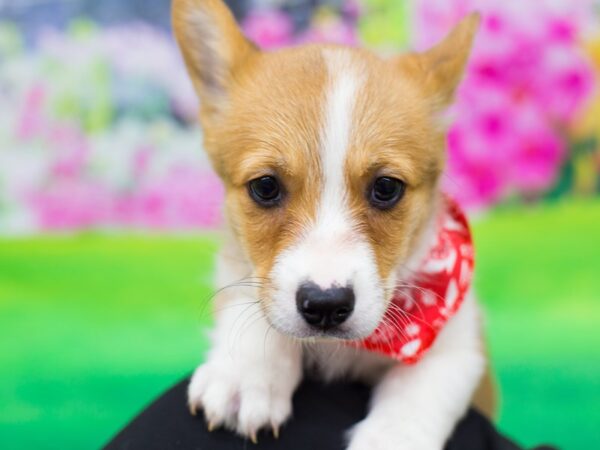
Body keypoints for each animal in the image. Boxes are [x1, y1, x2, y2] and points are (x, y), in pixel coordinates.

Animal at [171, 1, 490, 448]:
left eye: (386, 187)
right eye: (265, 186)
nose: (325, 306)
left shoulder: (460, 345)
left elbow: (416, 392)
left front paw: (391, 436)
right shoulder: (239, 271)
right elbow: (250, 302)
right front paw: (247, 377)